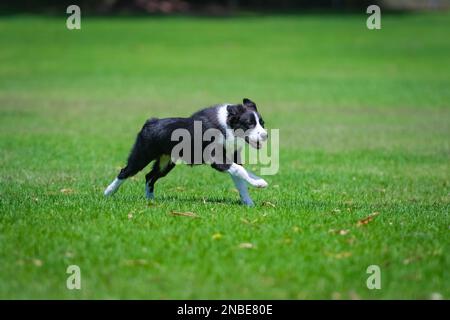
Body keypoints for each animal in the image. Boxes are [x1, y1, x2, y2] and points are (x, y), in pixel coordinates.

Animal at [103, 99, 268, 206]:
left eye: (262, 123)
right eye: (249, 124)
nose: (266, 135)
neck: (227, 126)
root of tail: (151, 121)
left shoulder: (232, 157)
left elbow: (240, 180)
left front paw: (249, 203)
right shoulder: (216, 158)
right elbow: (240, 170)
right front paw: (260, 182)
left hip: (166, 162)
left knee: (149, 176)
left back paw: (150, 199)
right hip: (142, 155)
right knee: (125, 171)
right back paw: (108, 193)